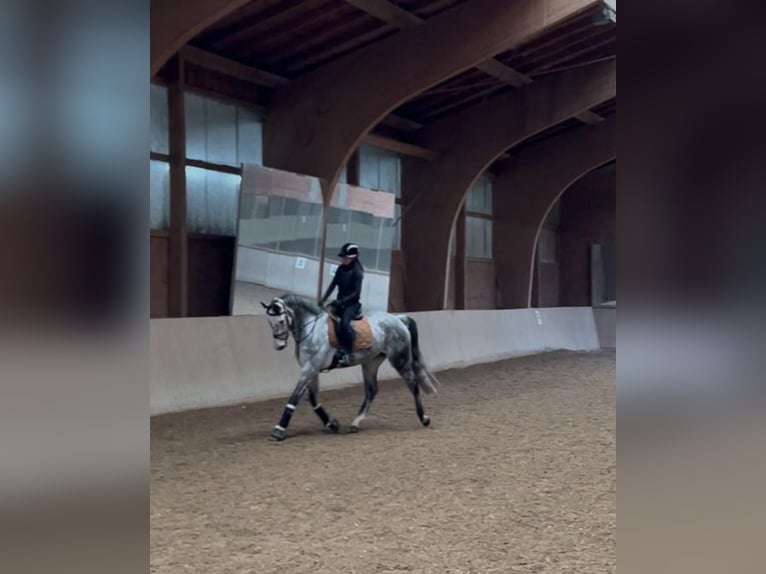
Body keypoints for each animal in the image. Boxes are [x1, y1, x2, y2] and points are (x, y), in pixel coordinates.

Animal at [260, 294, 438, 444]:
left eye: (280, 321)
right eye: (269, 323)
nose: (279, 346)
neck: (311, 330)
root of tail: (398, 318)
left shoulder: (310, 368)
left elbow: (294, 398)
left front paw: (279, 430)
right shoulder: (311, 369)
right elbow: (312, 398)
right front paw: (330, 423)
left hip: (399, 360)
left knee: (412, 383)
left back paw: (424, 418)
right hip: (370, 363)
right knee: (372, 390)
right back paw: (355, 423)